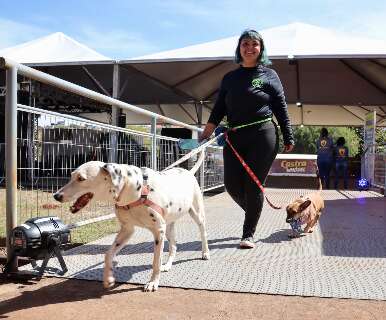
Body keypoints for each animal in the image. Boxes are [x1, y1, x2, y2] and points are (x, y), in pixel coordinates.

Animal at [53, 152, 210, 292]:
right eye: (71, 176)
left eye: (81, 178)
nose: (56, 196)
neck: (135, 191)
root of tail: (188, 172)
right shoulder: (127, 230)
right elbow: (108, 254)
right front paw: (108, 278)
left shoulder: (158, 231)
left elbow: (156, 262)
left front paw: (153, 283)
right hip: (169, 226)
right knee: (174, 245)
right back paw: (168, 265)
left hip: (197, 215)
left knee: (203, 233)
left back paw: (205, 253)